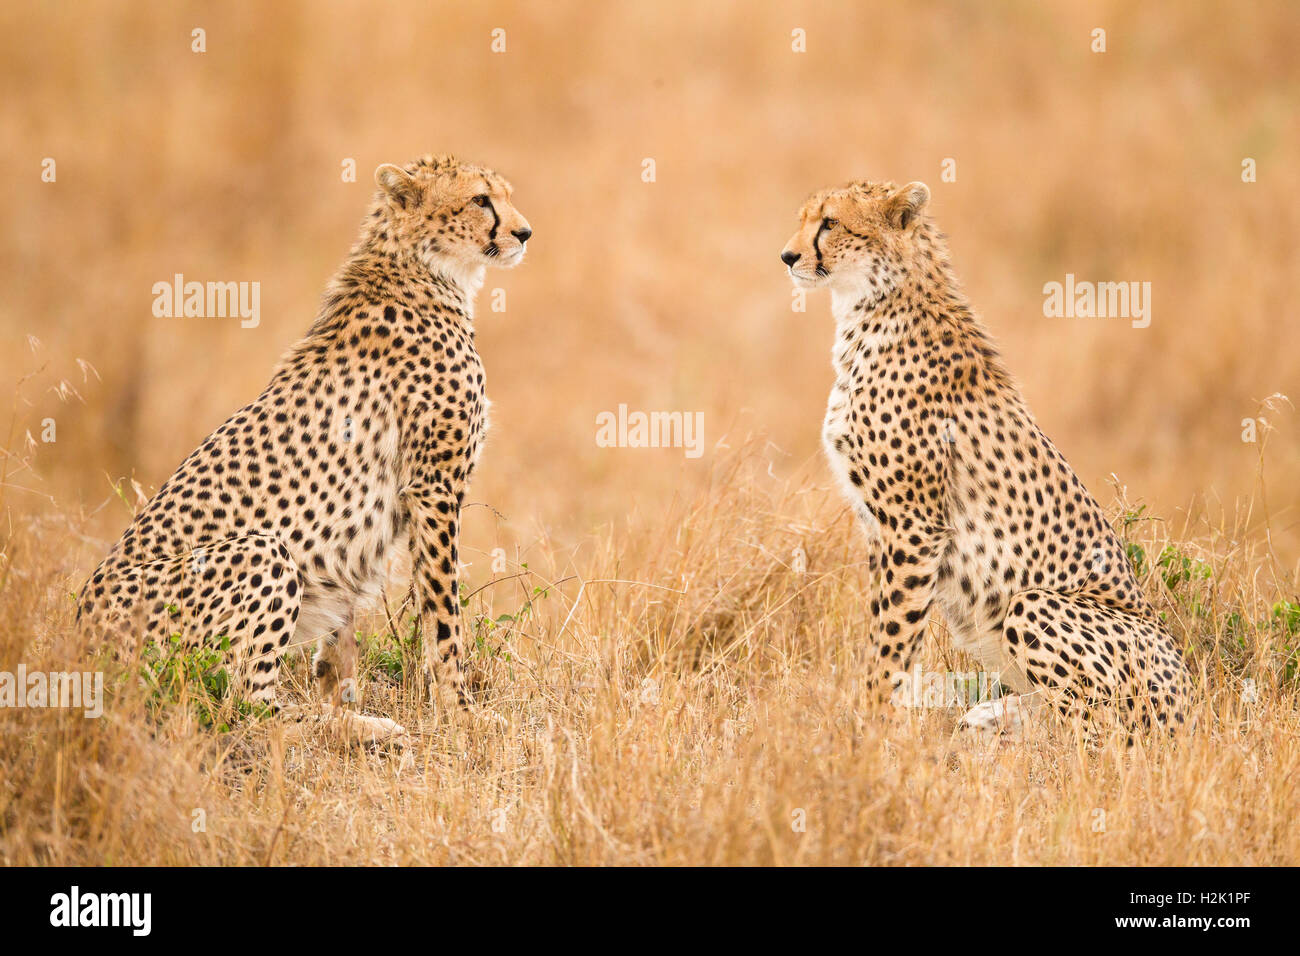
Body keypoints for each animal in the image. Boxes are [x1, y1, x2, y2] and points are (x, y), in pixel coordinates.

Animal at [79, 155, 533, 738]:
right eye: (480, 200)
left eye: (505, 196)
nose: (524, 232)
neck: (423, 269)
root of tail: (79, 636)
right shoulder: (434, 489)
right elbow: (444, 617)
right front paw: (461, 712)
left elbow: (341, 639)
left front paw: (342, 690)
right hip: (264, 552)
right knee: (243, 708)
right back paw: (366, 729)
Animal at [774, 180, 1190, 733]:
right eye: (803, 219)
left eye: (830, 223)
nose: (787, 256)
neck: (876, 304)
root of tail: (1193, 698)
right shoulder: (882, 530)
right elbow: (881, 629)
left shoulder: (915, 527)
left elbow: (892, 638)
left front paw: (870, 724)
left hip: (1033, 605)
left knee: (1094, 728)